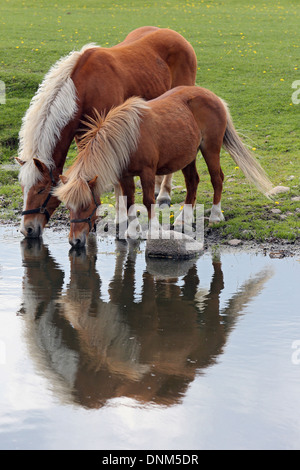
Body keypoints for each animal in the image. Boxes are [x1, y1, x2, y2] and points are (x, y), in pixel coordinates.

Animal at [17, 25, 198, 237]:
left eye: (41, 189)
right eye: (23, 187)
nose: (27, 229)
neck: (84, 89)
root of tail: (173, 33)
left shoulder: (114, 136)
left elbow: (117, 181)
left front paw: (122, 219)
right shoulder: (84, 138)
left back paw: (164, 194)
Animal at [52, 86, 274, 248]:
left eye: (86, 205)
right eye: (68, 207)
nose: (75, 241)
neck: (127, 139)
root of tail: (212, 96)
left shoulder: (147, 172)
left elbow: (148, 200)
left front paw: (154, 230)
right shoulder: (125, 175)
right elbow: (130, 201)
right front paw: (132, 231)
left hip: (210, 149)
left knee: (216, 179)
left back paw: (215, 215)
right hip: (188, 156)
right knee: (193, 182)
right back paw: (183, 219)